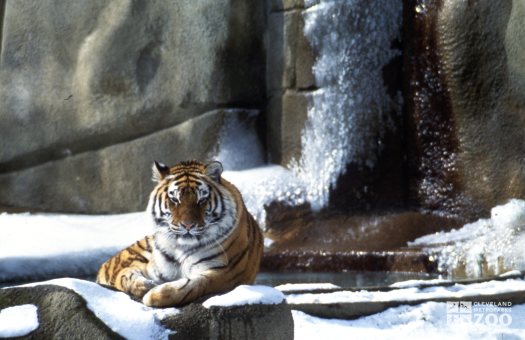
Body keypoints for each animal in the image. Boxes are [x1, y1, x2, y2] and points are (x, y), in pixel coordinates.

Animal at [95, 160, 262, 308]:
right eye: (175, 199)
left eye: (201, 200)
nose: (187, 225)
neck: (181, 248)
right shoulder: (150, 268)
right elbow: (125, 274)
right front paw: (143, 286)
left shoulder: (226, 272)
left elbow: (192, 286)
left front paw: (152, 295)